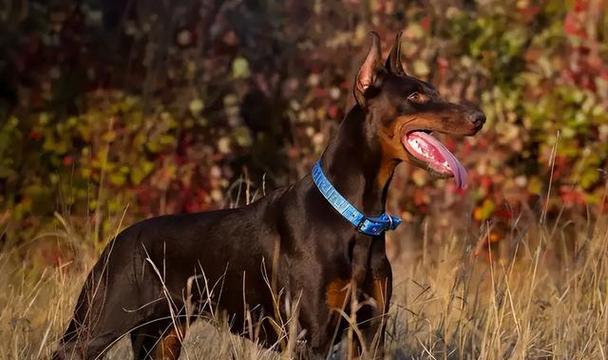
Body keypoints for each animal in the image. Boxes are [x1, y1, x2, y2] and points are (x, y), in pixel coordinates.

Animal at [54, 32, 486, 358]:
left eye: (434, 90)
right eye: (415, 97)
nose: (479, 117)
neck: (357, 214)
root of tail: (116, 241)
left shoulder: (369, 331)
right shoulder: (311, 335)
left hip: (163, 335)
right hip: (96, 325)